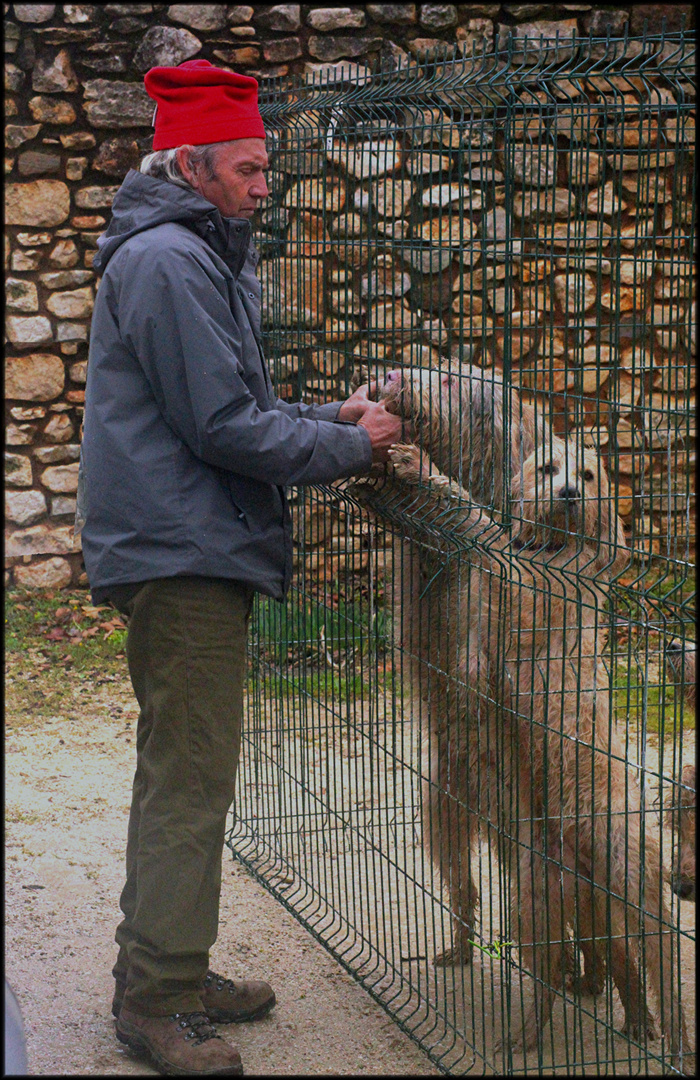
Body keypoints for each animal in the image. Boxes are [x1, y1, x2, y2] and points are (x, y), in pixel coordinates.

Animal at [350, 365, 695, 1071]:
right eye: (547, 467)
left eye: (586, 475)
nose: (386, 374)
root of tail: (582, 857)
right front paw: (388, 469)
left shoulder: (500, 579)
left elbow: (474, 524)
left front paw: (420, 468)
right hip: (498, 857)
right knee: (531, 942)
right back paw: (528, 1006)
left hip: (635, 890)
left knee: (647, 968)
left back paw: (654, 1027)